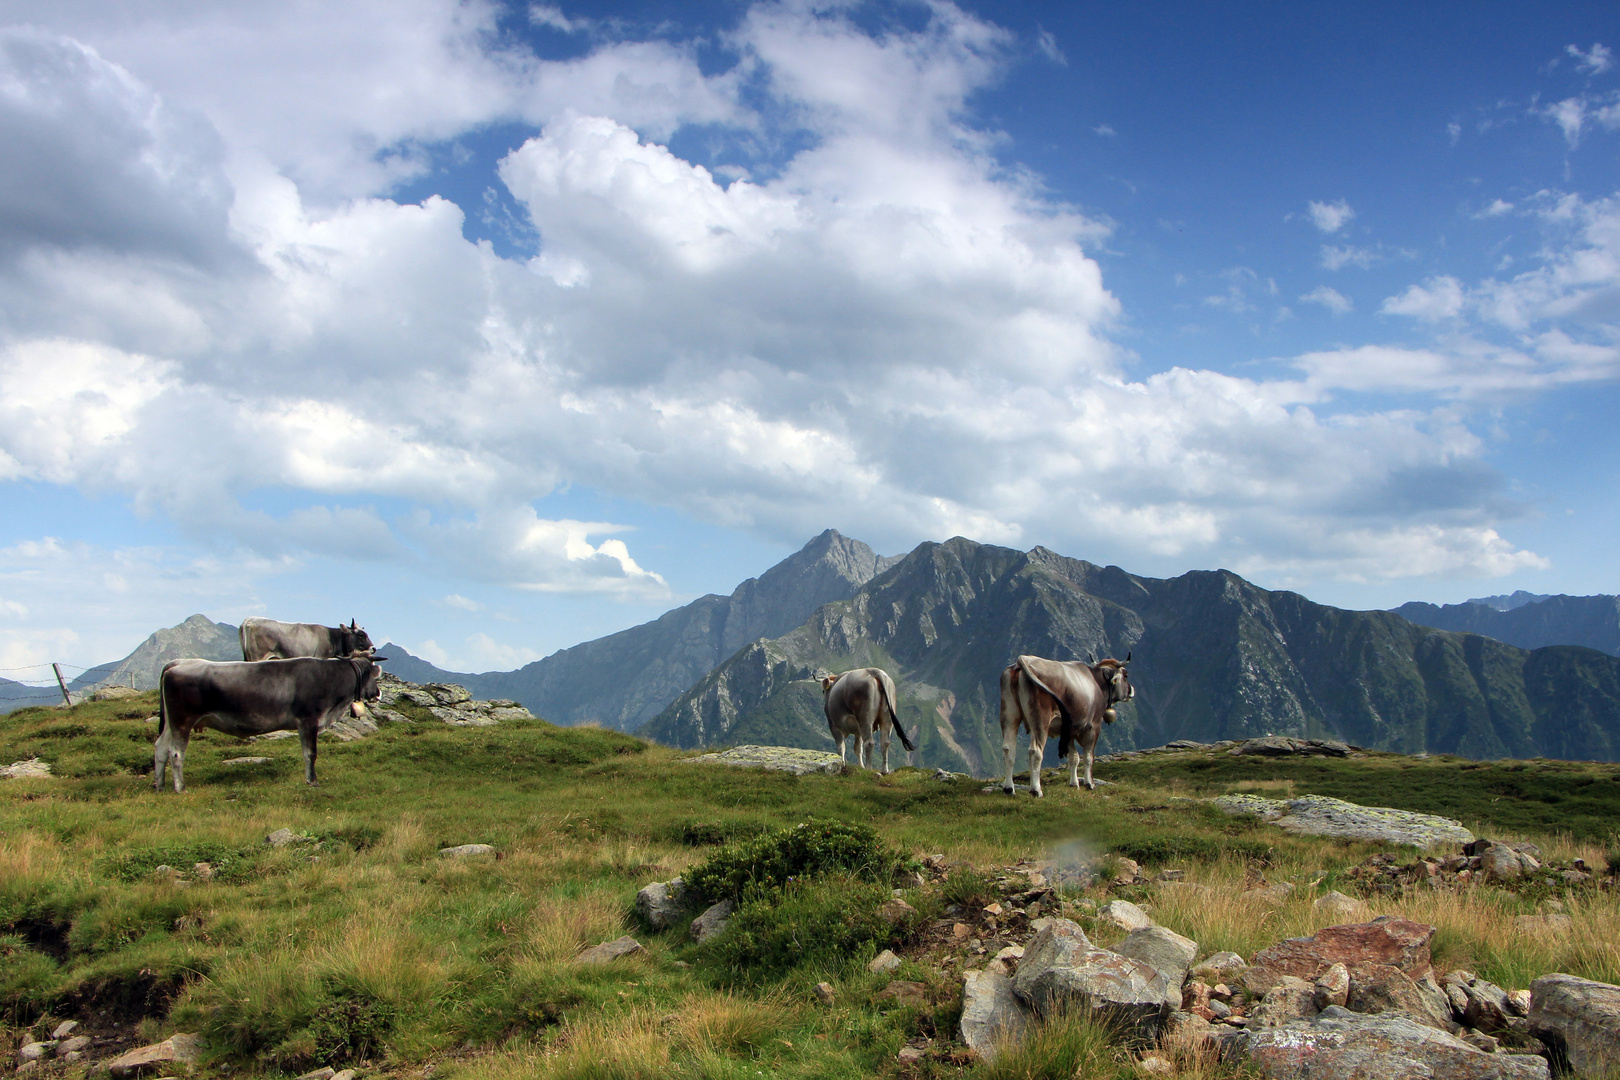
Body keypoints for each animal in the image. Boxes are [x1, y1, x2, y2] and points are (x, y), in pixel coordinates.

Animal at [991, 650, 1134, 793]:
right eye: (1126, 675)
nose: (1131, 690)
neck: (1097, 683)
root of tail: (1023, 661)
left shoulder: (1068, 730)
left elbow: (1073, 757)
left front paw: (1074, 784)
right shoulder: (1094, 726)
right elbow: (1088, 756)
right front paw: (1089, 783)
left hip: (1009, 715)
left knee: (1008, 749)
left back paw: (1009, 788)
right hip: (1040, 720)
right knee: (1035, 751)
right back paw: (1036, 790)